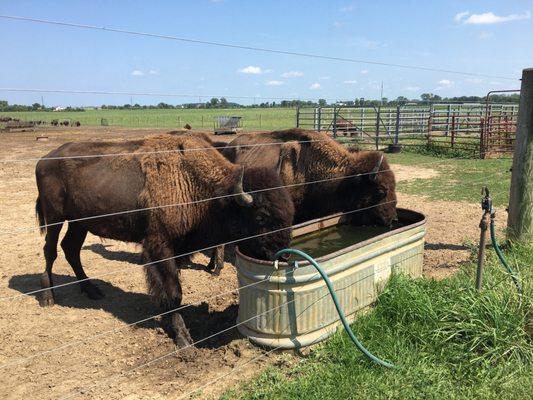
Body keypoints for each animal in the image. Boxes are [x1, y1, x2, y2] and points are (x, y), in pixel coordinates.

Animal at [36, 134, 296, 344]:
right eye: (261, 217)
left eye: (289, 212)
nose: (282, 255)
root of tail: (45, 159)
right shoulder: (160, 246)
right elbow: (174, 291)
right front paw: (183, 338)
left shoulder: (178, 250)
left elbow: (171, 285)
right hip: (55, 218)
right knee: (51, 250)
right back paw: (48, 297)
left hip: (79, 223)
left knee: (71, 249)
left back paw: (91, 289)